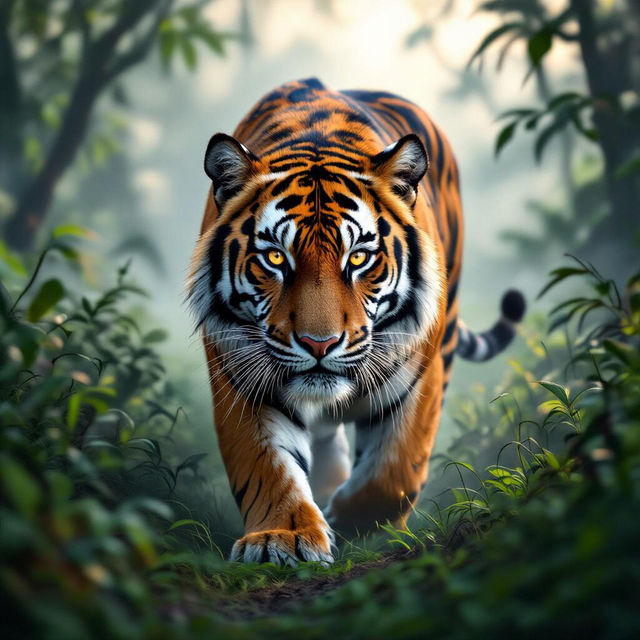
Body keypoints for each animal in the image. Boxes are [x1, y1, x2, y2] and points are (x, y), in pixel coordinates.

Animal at [187, 78, 525, 565]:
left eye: (359, 258)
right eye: (276, 258)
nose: (319, 344)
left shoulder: (419, 376)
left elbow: (392, 474)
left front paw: (355, 525)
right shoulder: (240, 374)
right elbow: (266, 463)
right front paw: (282, 538)